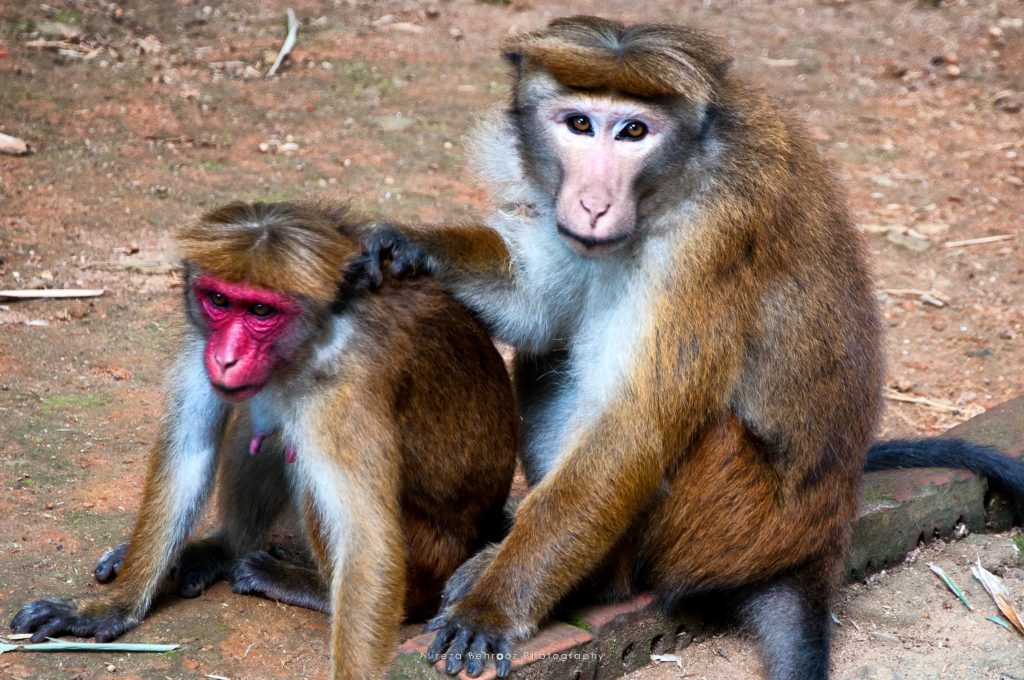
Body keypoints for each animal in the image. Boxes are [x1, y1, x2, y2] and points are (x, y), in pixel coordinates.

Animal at [9, 199, 520, 675]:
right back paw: (220, 550)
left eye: (260, 310)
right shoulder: (201, 340)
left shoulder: (347, 390)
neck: (317, 336)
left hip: (434, 554)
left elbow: (367, 541)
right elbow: (189, 453)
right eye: (219, 301)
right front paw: (108, 608)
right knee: (264, 429)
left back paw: (310, 586)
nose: (226, 358)